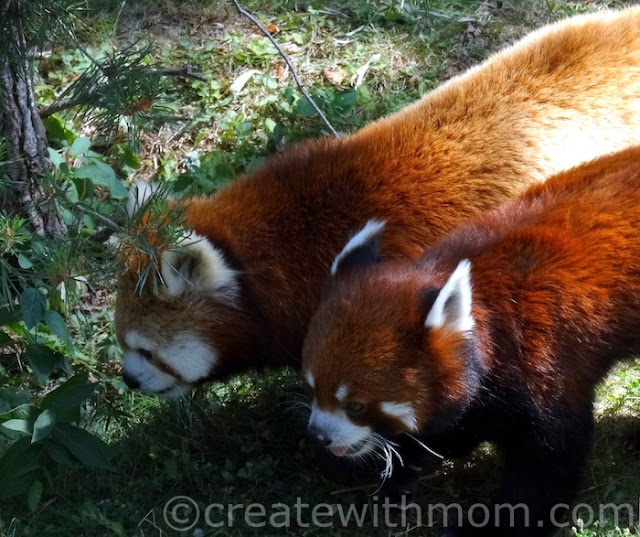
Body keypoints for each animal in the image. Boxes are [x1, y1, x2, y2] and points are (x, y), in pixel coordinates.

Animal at [300, 144, 640, 532]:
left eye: (356, 405)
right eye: (311, 388)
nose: (318, 435)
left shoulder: (544, 363)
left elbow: (548, 462)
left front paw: (495, 525)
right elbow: (456, 425)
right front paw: (397, 466)